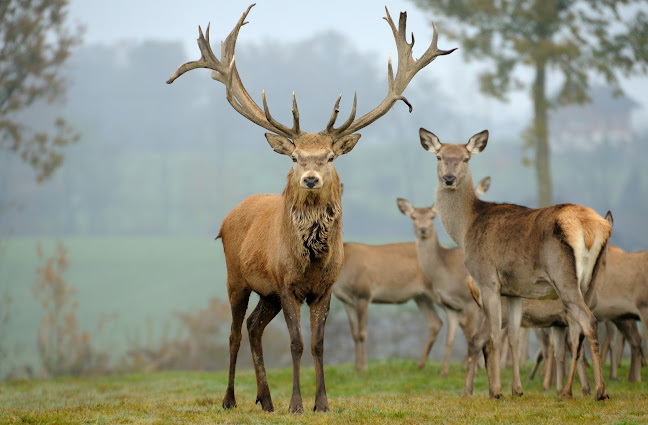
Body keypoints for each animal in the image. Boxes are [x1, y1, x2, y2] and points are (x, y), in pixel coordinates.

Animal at [166, 4, 456, 412]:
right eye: (295, 157)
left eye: (330, 156)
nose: (311, 179)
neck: (310, 259)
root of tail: (228, 217)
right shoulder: (287, 284)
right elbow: (296, 343)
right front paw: (296, 405)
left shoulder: (324, 287)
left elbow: (319, 345)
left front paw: (322, 403)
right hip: (236, 277)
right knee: (235, 332)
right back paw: (230, 399)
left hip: (267, 293)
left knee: (254, 327)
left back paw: (265, 399)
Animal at [394, 176, 492, 374]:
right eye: (413, 217)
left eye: (432, 216)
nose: (423, 229)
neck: (444, 274)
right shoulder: (450, 306)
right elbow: (451, 338)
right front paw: (445, 372)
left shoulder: (469, 303)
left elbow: (471, 333)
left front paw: (473, 368)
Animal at [422, 127, 616, 400]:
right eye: (439, 157)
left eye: (465, 158)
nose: (449, 178)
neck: (466, 229)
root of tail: (592, 226)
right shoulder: (514, 291)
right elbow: (513, 336)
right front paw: (516, 390)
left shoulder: (488, 278)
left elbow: (495, 335)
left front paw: (495, 391)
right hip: (591, 279)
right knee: (580, 328)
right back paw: (578, 390)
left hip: (563, 276)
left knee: (587, 321)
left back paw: (599, 391)